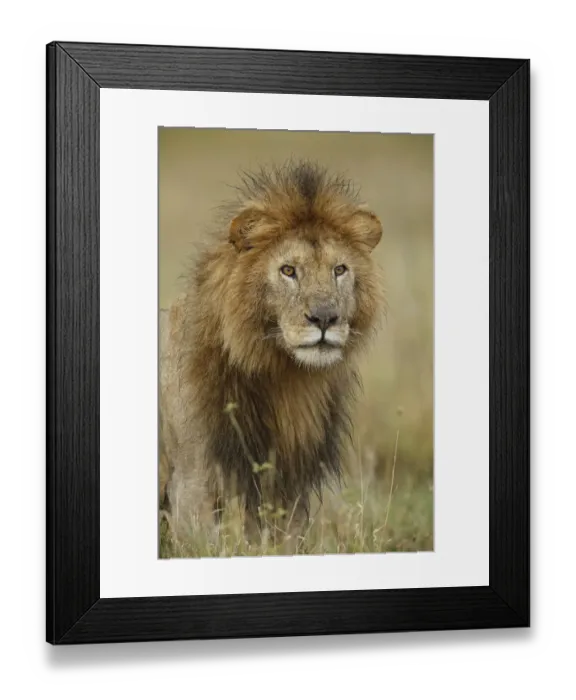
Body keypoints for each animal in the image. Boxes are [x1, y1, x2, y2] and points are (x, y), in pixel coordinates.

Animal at [159, 160, 386, 546]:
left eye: (339, 270)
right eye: (288, 270)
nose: (325, 318)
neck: (285, 380)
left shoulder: (286, 485)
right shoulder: (192, 481)